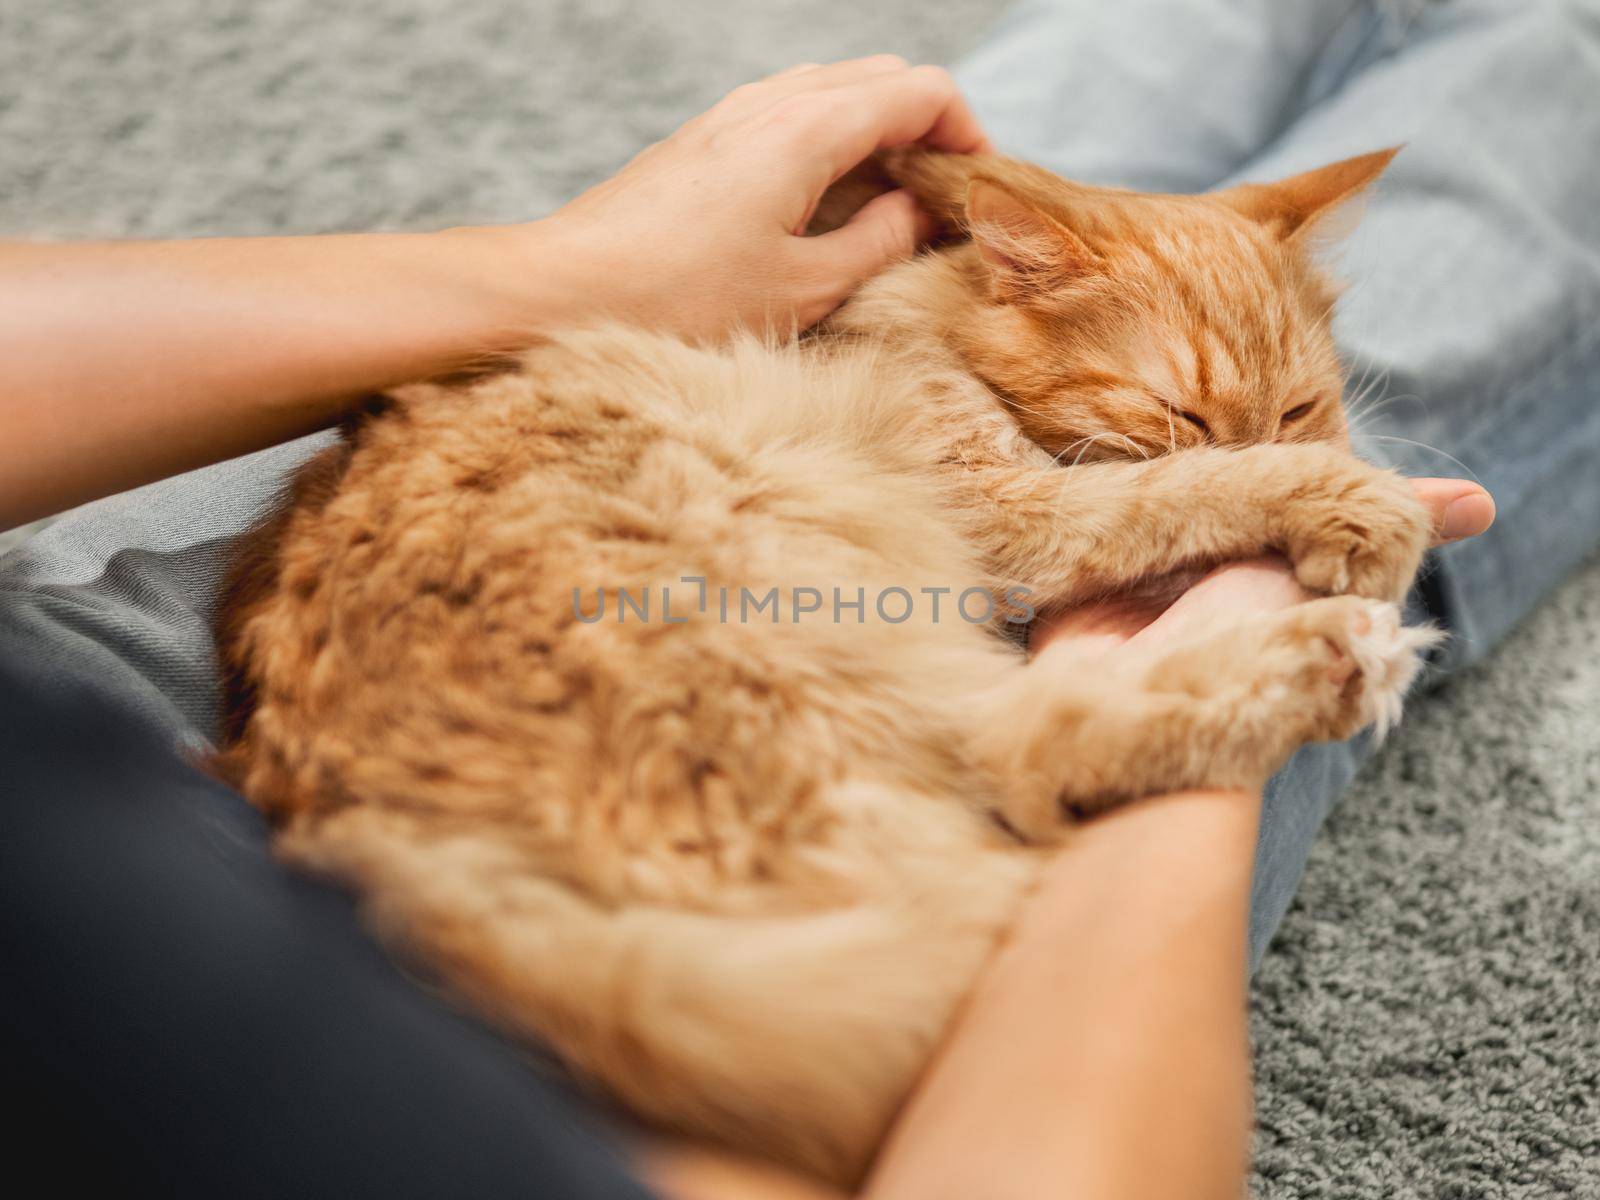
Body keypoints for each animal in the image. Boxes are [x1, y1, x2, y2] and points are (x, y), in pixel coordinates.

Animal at [216, 148, 1440, 1184]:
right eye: (1179, 407)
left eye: (1298, 402)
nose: (1289, 434)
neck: (914, 318)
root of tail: (344, 826)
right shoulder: (1017, 514)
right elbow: (1183, 490)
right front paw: (1353, 505)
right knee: (1024, 749)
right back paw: (1334, 654)